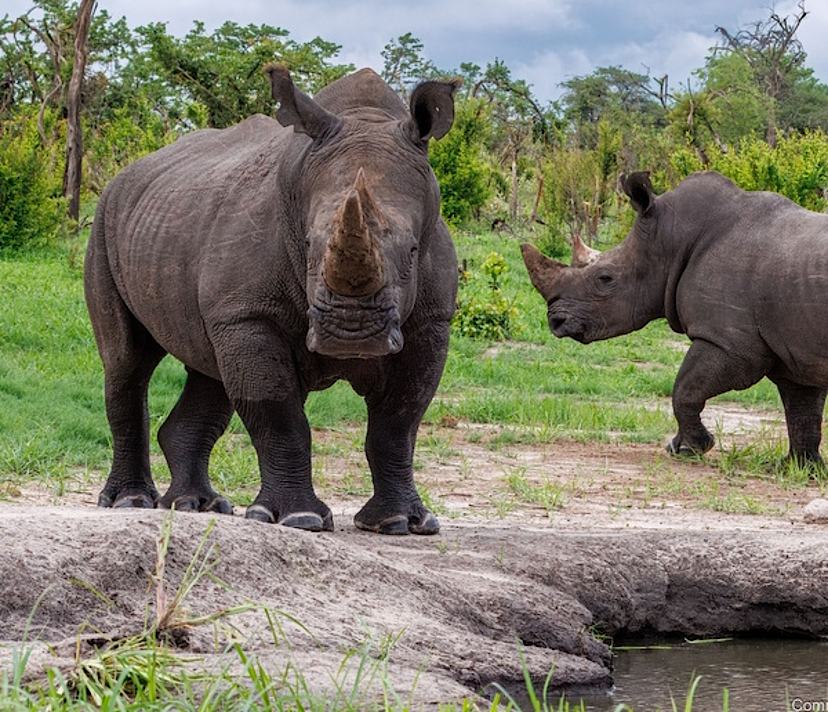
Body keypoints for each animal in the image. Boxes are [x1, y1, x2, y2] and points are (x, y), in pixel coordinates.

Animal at [85, 66, 461, 534]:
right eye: (307, 243)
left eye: (412, 250)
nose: (351, 334)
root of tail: (126, 174)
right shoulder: (250, 315)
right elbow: (278, 414)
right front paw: (297, 519)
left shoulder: (431, 322)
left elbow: (399, 422)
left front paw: (402, 524)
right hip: (104, 222)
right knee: (127, 361)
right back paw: (130, 501)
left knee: (208, 367)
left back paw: (196, 505)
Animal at [522, 171, 828, 466]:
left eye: (605, 278)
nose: (556, 321)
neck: (669, 238)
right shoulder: (794, 355)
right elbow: (802, 410)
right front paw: (799, 467)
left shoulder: (729, 343)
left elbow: (684, 389)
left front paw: (686, 449)